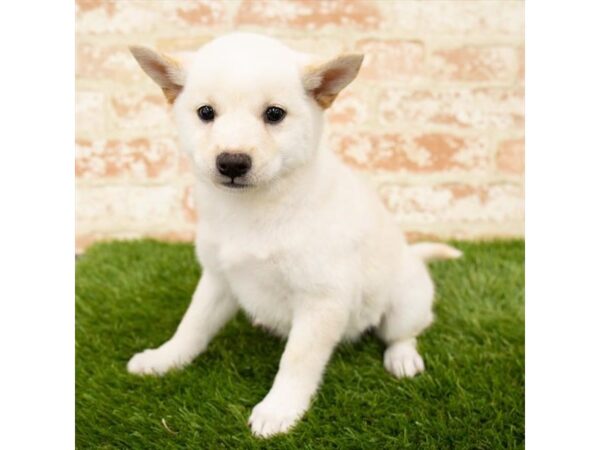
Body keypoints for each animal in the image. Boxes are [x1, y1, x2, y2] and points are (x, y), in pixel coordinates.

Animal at [126, 32, 462, 440]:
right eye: (205, 112)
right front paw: (165, 359)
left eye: (274, 114)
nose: (232, 162)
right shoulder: (219, 278)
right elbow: (192, 326)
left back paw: (402, 358)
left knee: (402, 332)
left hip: (404, 303)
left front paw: (279, 409)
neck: (252, 210)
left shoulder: (322, 299)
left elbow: (297, 360)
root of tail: (414, 256)